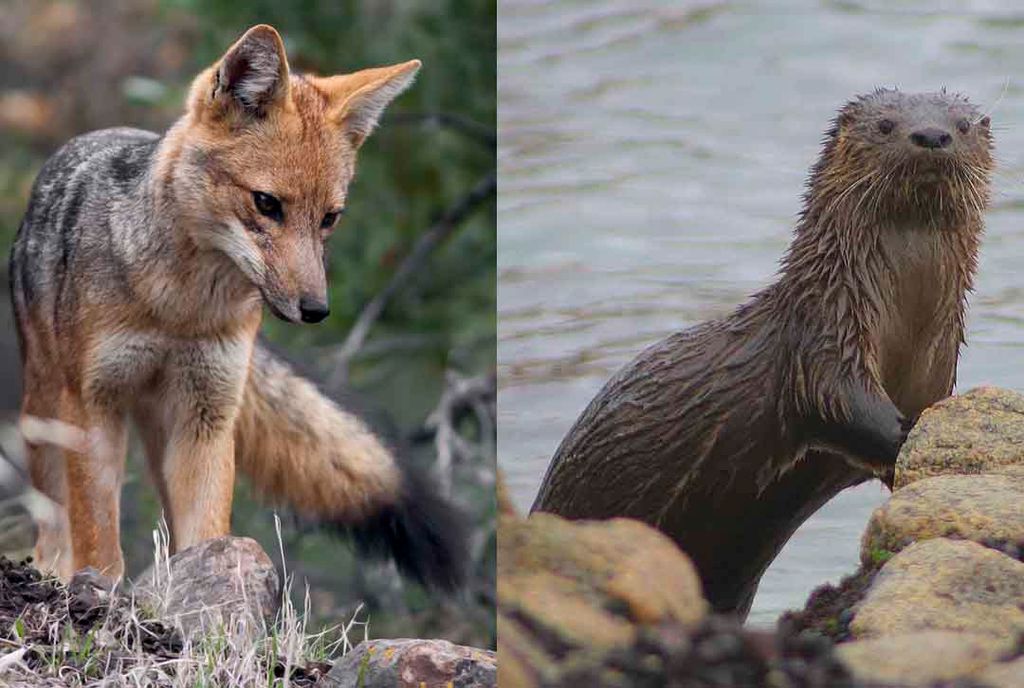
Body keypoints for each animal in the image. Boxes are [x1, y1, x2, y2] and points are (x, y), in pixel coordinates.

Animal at [8, 24, 467, 589]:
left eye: (329, 218)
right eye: (266, 204)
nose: (316, 309)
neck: (176, 308)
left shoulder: (208, 414)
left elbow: (206, 535)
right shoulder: (93, 405)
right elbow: (99, 542)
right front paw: (102, 591)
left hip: (169, 432)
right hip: (47, 408)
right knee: (54, 527)